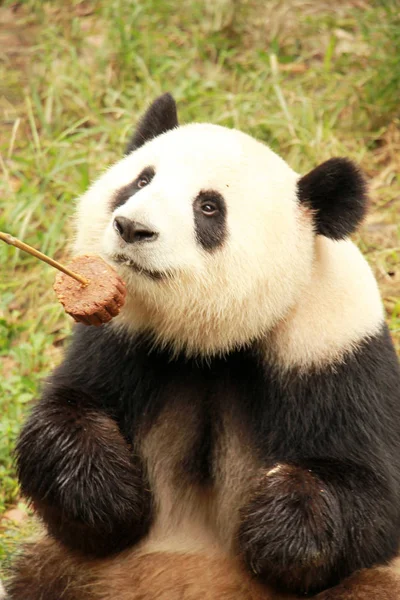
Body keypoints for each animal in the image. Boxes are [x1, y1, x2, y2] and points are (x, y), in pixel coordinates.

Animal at [5, 94, 400, 600]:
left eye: (209, 206)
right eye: (142, 180)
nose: (132, 227)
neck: (209, 337)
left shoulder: (334, 354)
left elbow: (374, 499)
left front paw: (278, 520)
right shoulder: (120, 339)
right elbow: (66, 416)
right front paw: (105, 485)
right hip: (71, 570)